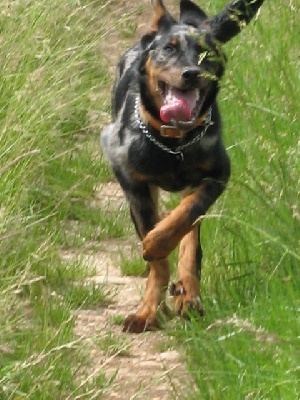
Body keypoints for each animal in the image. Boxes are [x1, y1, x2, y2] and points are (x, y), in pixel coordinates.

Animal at [101, 0, 264, 332]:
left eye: (206, 53)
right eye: (168, 49)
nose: (192, 73)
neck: (174, 143)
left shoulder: (216, 176)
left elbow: (183, 220)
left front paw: (158, 243)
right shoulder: (132, 182)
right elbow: (157, 262)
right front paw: (146, 313)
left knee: (189, 239)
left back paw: (189, 297)